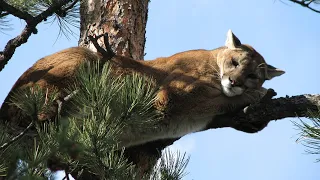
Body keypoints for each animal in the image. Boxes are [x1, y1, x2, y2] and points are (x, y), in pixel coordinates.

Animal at [0, 30, 284, 147]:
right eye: (234, 62)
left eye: (251, 75)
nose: (235, 82)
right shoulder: (172, 96)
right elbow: (219, 99)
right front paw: (256, 94)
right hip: (83, 59)